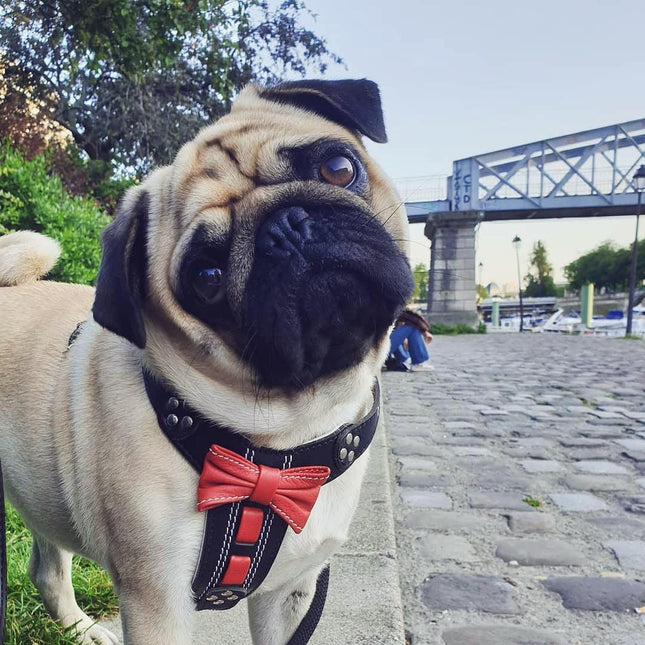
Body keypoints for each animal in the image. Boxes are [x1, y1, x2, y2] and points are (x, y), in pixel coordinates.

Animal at [0, 78, 412, 640]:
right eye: (208, 279)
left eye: (337, 168)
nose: (285, 229)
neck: (278, 444)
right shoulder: (157, 601)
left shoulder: (291, 594)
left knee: (46, 568)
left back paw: (81, 629)